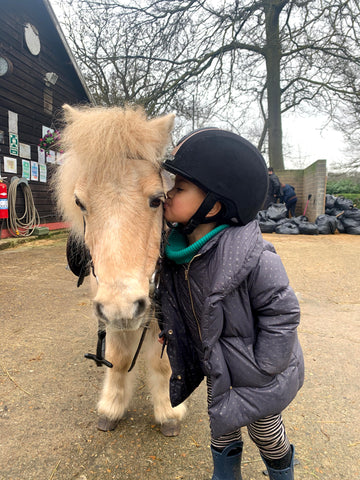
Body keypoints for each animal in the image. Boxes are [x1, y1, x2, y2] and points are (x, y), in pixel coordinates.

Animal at [54, 104, 187, 436]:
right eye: (80, 202)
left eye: (158, 199)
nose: (123, 307)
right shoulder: (106, 306)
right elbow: (119, 356)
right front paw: (112, 406)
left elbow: (161, 361)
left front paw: (169, 410)